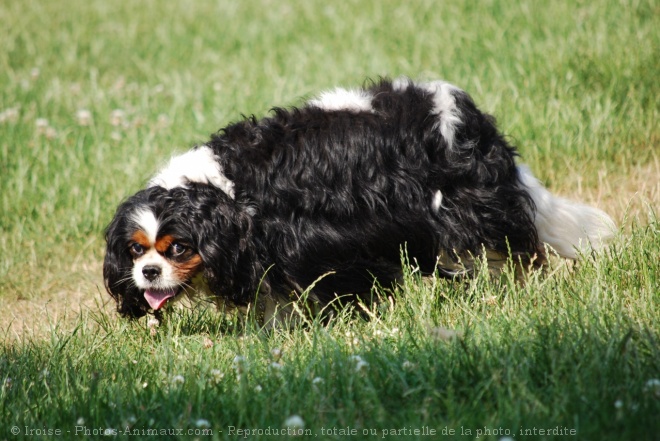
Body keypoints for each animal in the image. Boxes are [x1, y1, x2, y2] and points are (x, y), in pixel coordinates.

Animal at [102, 78, 612, 326]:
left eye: (178, 248)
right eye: (136, 250)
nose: (148, 273)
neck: (229, 193)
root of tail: (468, 115)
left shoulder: (322, 243)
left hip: (467, 207)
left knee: (509, 252)